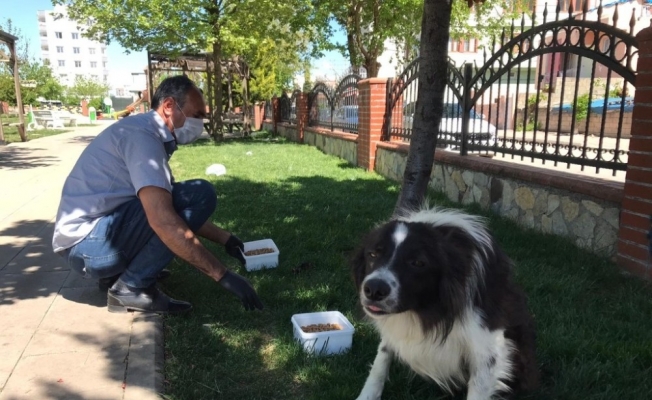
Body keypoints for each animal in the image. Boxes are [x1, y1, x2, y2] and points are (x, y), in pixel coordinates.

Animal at [354, 206, 536, 400]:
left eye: (417, 262)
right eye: (373, 254)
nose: (374, 290)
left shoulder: (488, 346)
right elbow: (381, 358)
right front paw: (367, 396)